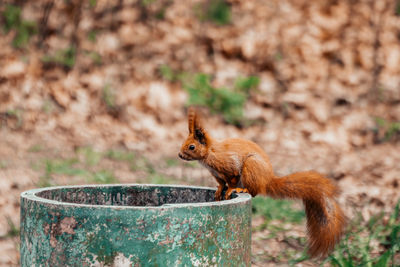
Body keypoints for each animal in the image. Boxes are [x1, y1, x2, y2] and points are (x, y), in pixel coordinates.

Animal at [178, 108, 346, 258]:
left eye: (192, 146)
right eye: (184, 142)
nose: (179, 155)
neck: (209, 153)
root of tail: (267, 181)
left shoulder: (229, 166)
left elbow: (231, 179)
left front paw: (229, 189)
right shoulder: (216, 174)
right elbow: (221, 183)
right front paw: (219, 190)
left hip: (251, 167)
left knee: (254, 191)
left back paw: (242, 190)